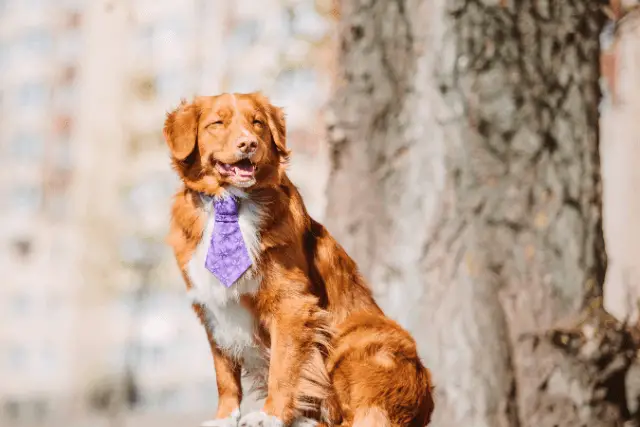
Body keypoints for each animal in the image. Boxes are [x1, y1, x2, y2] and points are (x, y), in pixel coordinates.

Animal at [165, 93, 436, 427]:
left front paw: (270, 415)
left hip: (360, 339)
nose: (248, 144)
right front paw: (225, 416)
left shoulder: (291, 304)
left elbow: (284, 367)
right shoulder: (212, 307)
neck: (230, 203)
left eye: (257, 122)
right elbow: (224, 374)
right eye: (217, 123)